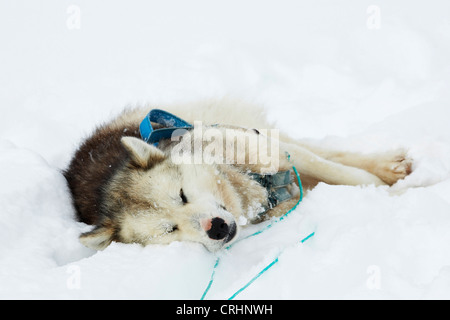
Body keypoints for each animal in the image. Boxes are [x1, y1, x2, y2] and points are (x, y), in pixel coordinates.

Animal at [63, 99, 412, 251]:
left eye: (182, 195)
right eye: (169, 229)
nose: (216, 228)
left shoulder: (271, 153)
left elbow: (342, 172)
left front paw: (394, 192)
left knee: (325, 154)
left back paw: (389, 167)